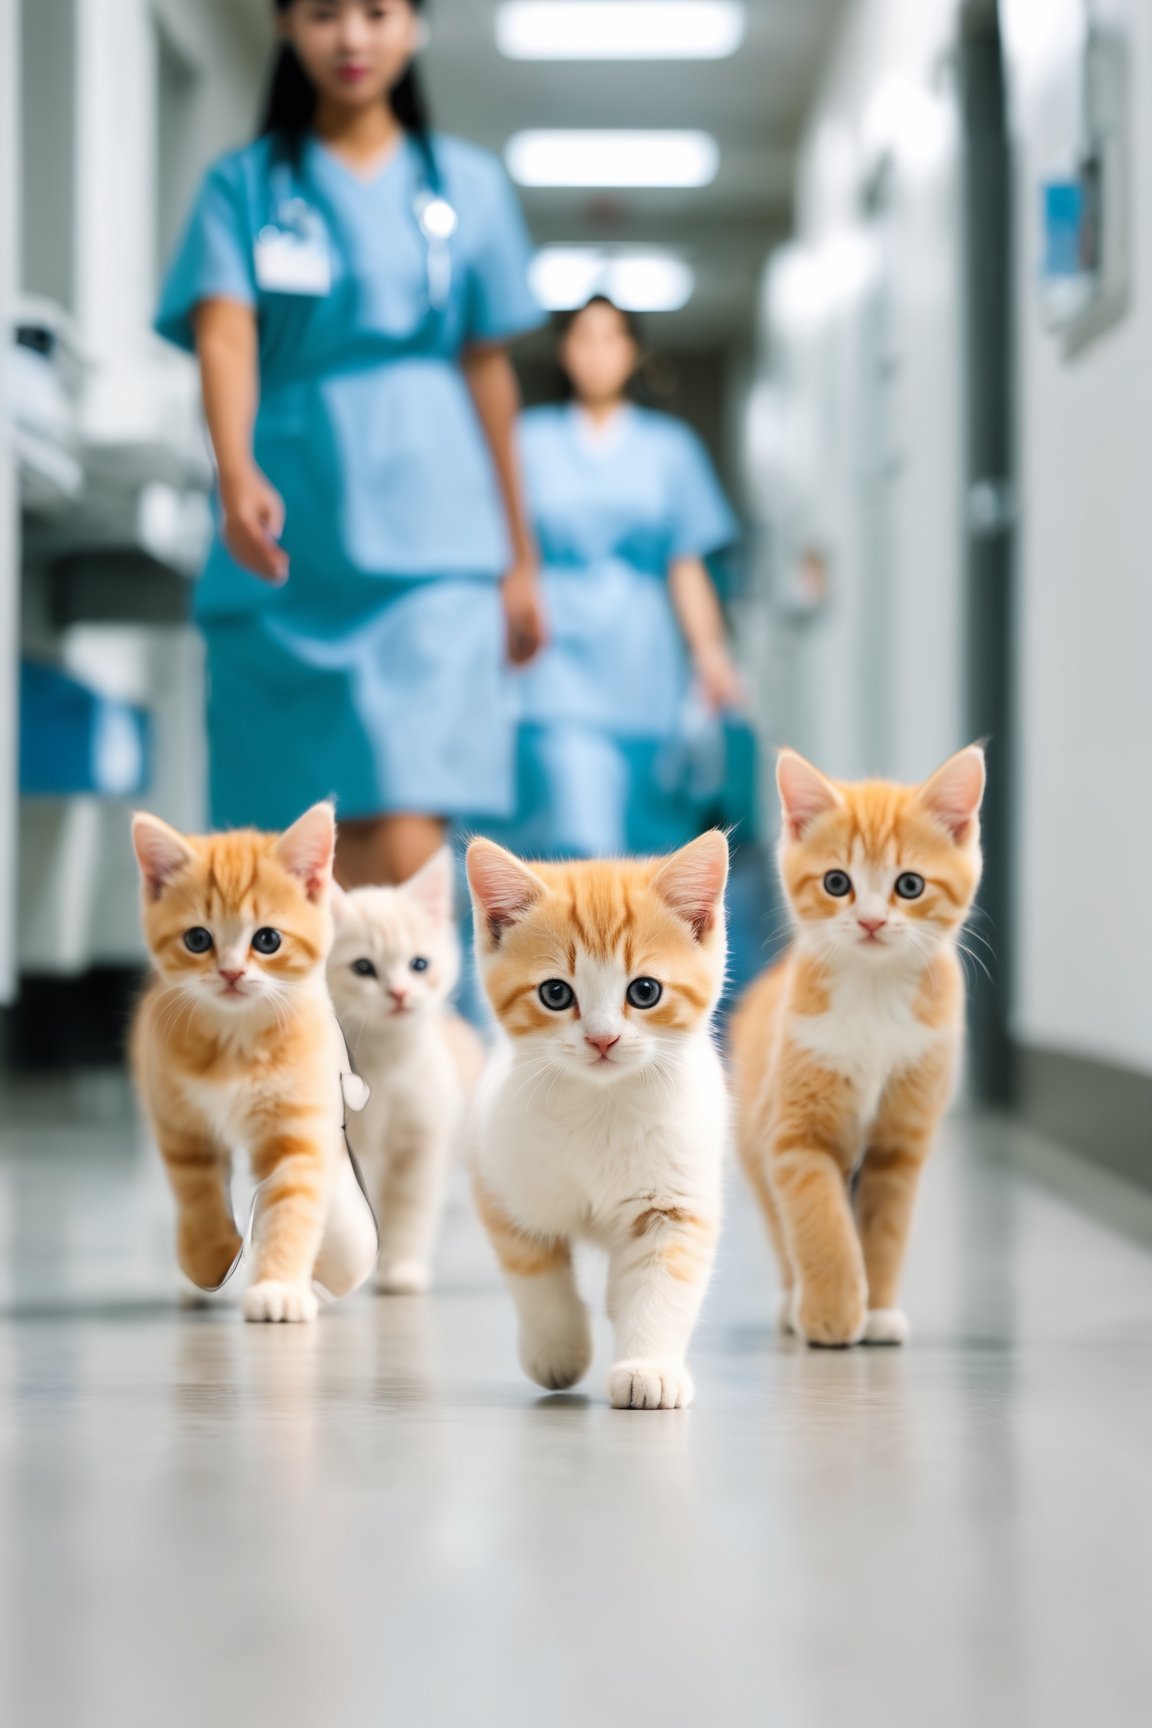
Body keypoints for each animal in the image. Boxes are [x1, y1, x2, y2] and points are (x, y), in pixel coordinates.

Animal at [129, 801, 378, 1313]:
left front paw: (278, 1288)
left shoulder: (299, 1128)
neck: (236, 1042)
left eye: (267, 940)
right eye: (197, 940)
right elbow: (198, 1196)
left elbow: (291, 1208)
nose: (230, 973)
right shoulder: (179, 1121)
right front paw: (211, 1261)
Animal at [326, 850, 483, 1299]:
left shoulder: (423, 1142)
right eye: (363, 967)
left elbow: (410, 1211)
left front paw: (401, 1269)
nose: (398, 994)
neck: (385, 1065)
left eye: (419, 965)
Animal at [462, 829, 725, 1410]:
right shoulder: (500, 1182)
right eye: (555, 993)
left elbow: (660, 1285)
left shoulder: (676, 1201)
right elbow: (536, 1276)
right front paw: (557, 1349)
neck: (600, 1106)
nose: (602, 1039)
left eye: (644, 991)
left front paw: (648, 1367)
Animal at [735, 743, 987, 1347]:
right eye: (835, 882)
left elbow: (884, 1229)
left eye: (910, 885)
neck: (874, 996)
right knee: (779, 1225)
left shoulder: (902, 1140)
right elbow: (819, 1220)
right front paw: (831, 1314)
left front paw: (878, 1311)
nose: (871, 921)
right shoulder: (793, 1133)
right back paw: (792, 1301)